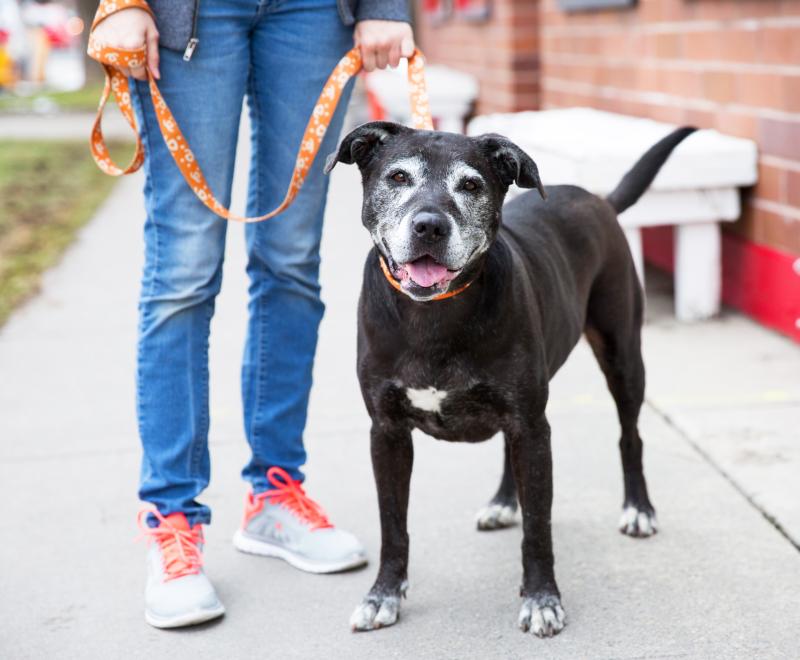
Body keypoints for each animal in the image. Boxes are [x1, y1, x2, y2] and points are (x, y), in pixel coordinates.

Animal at [324, 121, 692, 636]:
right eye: (397, 177)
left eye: (471, 185)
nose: (429, 225)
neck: (434, 315)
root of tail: (598, 199)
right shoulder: (388, 433)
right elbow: (392, 524)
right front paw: (383, 595)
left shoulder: (533, 428)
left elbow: (539, 527)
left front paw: (542, 599)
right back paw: (503, 501)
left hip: (622, 356)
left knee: (630, 435)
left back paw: (638, 509)